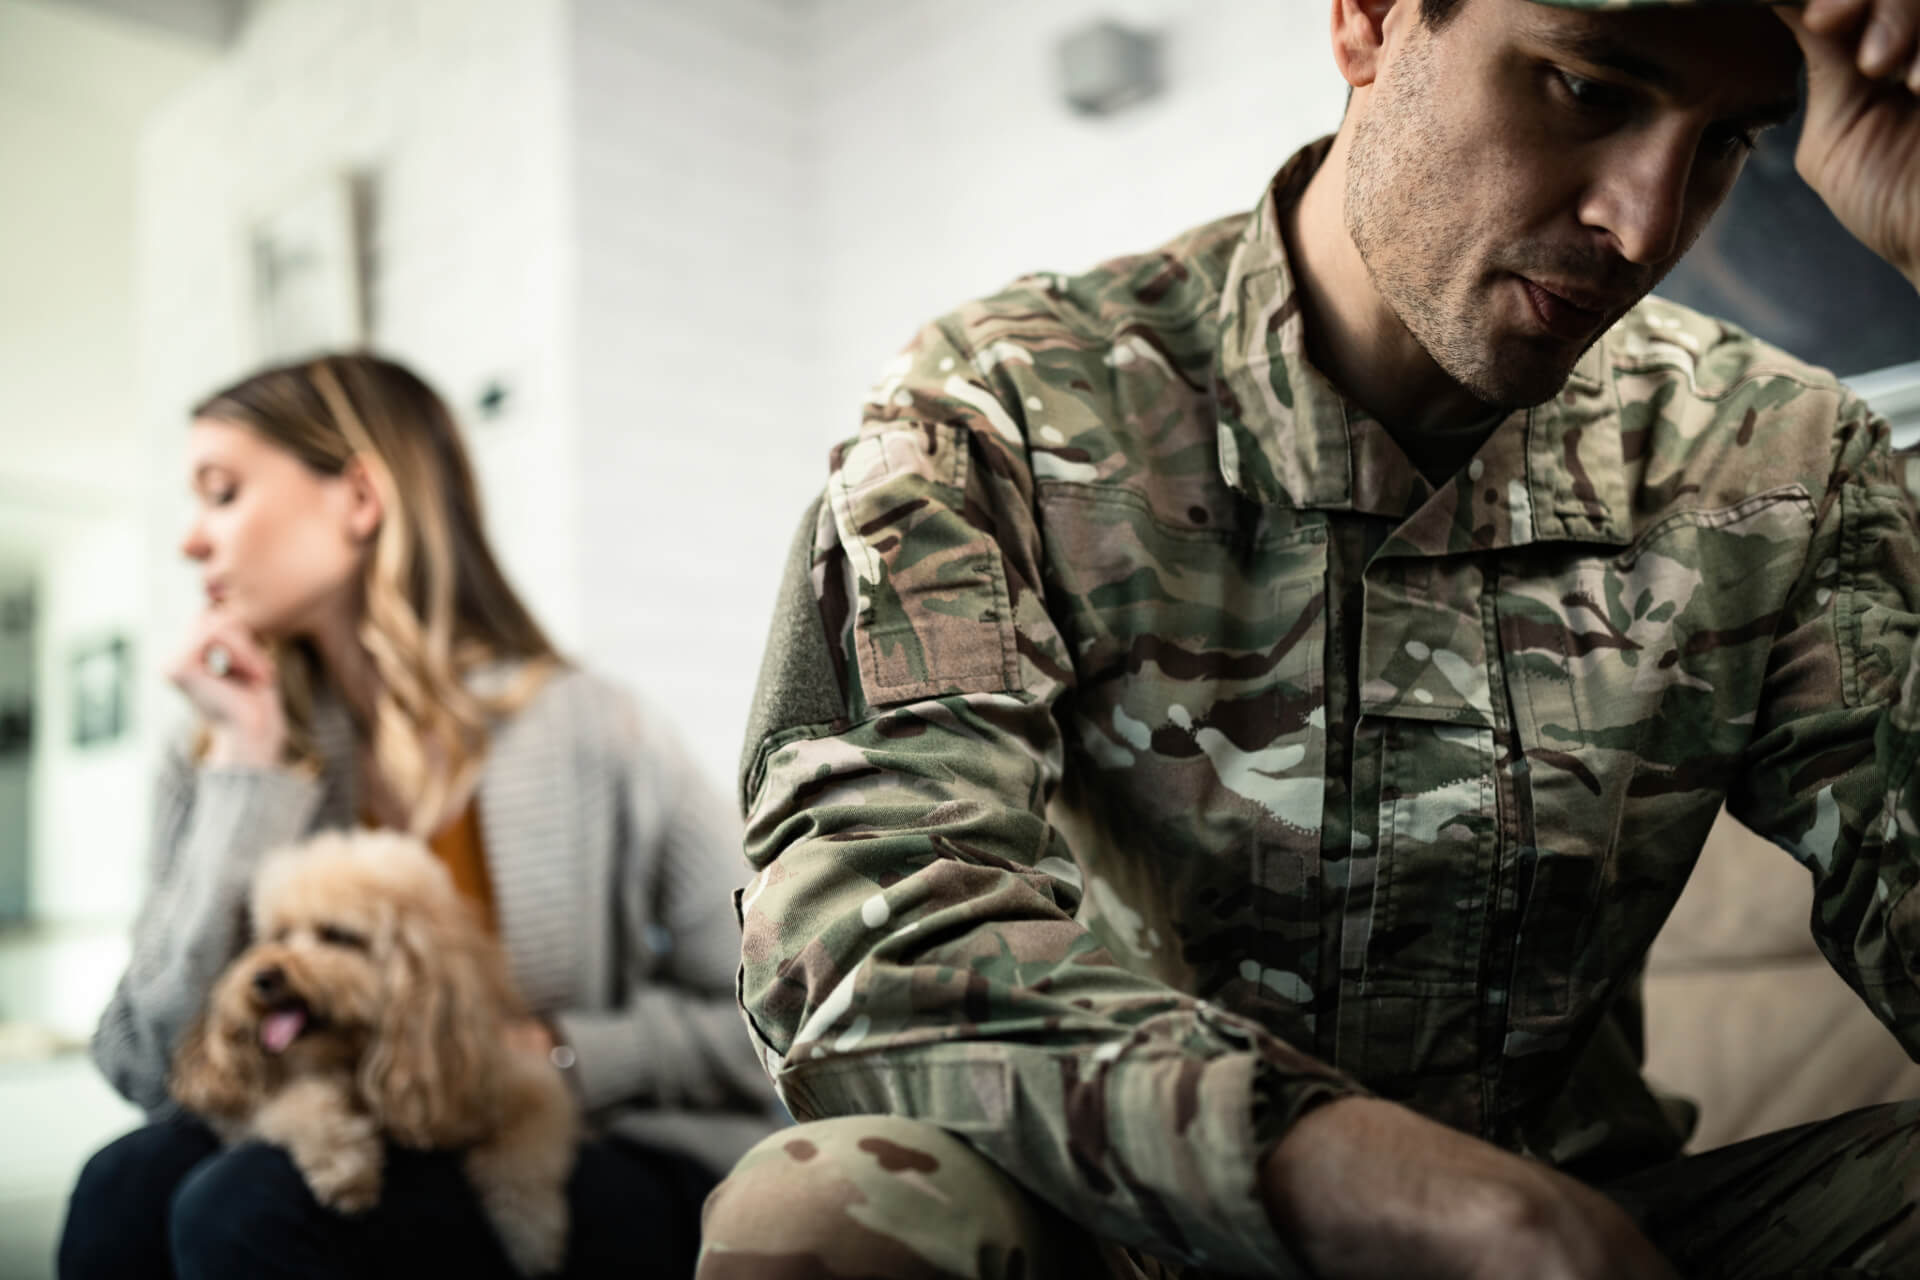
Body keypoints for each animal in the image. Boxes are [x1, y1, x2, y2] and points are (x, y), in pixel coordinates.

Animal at [171, 832, 576, 1274]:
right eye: (278, 936)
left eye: (337, 935)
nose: (262, 977)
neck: (354, 1058)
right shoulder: (255, 1104)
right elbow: (296, 1102)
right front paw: (346, 1167)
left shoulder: (512, 1083)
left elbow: (526, 1160)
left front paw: (534, 1241)